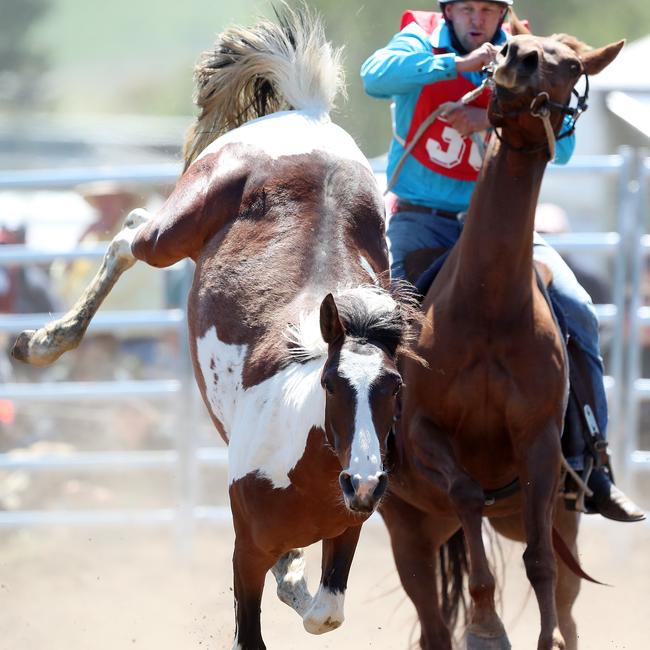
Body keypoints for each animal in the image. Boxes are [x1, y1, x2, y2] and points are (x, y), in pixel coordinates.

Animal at [11, 7, 416, 644]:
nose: (365, 483)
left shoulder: (347, 527)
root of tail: (306, 114)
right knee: (129, 232)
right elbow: (256, 623)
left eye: (394, 388)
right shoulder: (243, 548)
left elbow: (324, 612)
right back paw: (44, 341)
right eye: (331, 386)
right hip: (175, 227)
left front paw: (295, 578)